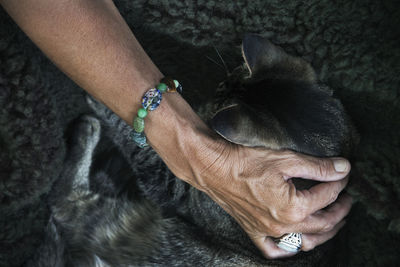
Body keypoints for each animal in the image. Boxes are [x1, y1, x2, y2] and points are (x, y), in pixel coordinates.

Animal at [34, 34, 358, 266]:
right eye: (219, 87)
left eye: (216, 102)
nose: (201, 109)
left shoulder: (173, 188)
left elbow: (139, 144)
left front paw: (104, 104)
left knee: (63, 203)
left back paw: (87, 130)